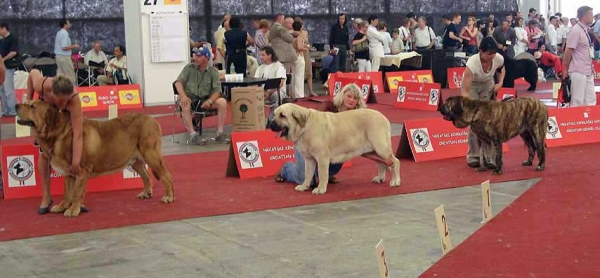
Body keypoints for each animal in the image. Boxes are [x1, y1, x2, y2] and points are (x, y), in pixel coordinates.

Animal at [15, 100, 175, 217]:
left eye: (32, 106)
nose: (16, 105)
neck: (58, 132)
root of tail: (153, 120)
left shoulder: (82, 170)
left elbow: (76, 192)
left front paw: (73, 210)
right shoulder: (69, 174)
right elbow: (67, 193)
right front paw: (62, 207)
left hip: (151, 155)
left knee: (166, 176)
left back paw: (169, 197)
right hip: (135, 161)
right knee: (146, 175)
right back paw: (146, 193)